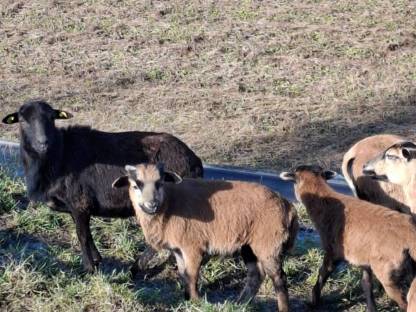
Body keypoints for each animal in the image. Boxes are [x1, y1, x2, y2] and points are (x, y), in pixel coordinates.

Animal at [1, 100, 203, 272]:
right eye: (23, 120)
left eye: (52, 118)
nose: (43, 143)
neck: (59, 154)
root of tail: (195, 162)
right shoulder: (78, 207)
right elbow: (87, 234)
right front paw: (97, 260)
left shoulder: (79, 202)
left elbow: (82, 235)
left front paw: (89, 269)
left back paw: (136, 268)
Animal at [112, 162, 298, 310]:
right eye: (135, 185)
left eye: (160, 183)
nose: (151, 204)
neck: (169, 205)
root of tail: (288, 206)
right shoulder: (178, 250)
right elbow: (184, 275)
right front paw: (186, 300)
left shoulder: (193, 246)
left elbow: (192, 275)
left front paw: (195, 302)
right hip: (249, 245)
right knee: (256, 275)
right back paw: (239, 304)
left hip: (268, 243)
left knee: (279, 278)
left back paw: (281, 308)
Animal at [280, 165, 416, 310]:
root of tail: (410, 237)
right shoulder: (364, 258)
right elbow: (366, 283)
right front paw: (371, 308)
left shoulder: (332, 251)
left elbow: (323, 273)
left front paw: (313, 302)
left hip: (388, 273)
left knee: (404, 302)